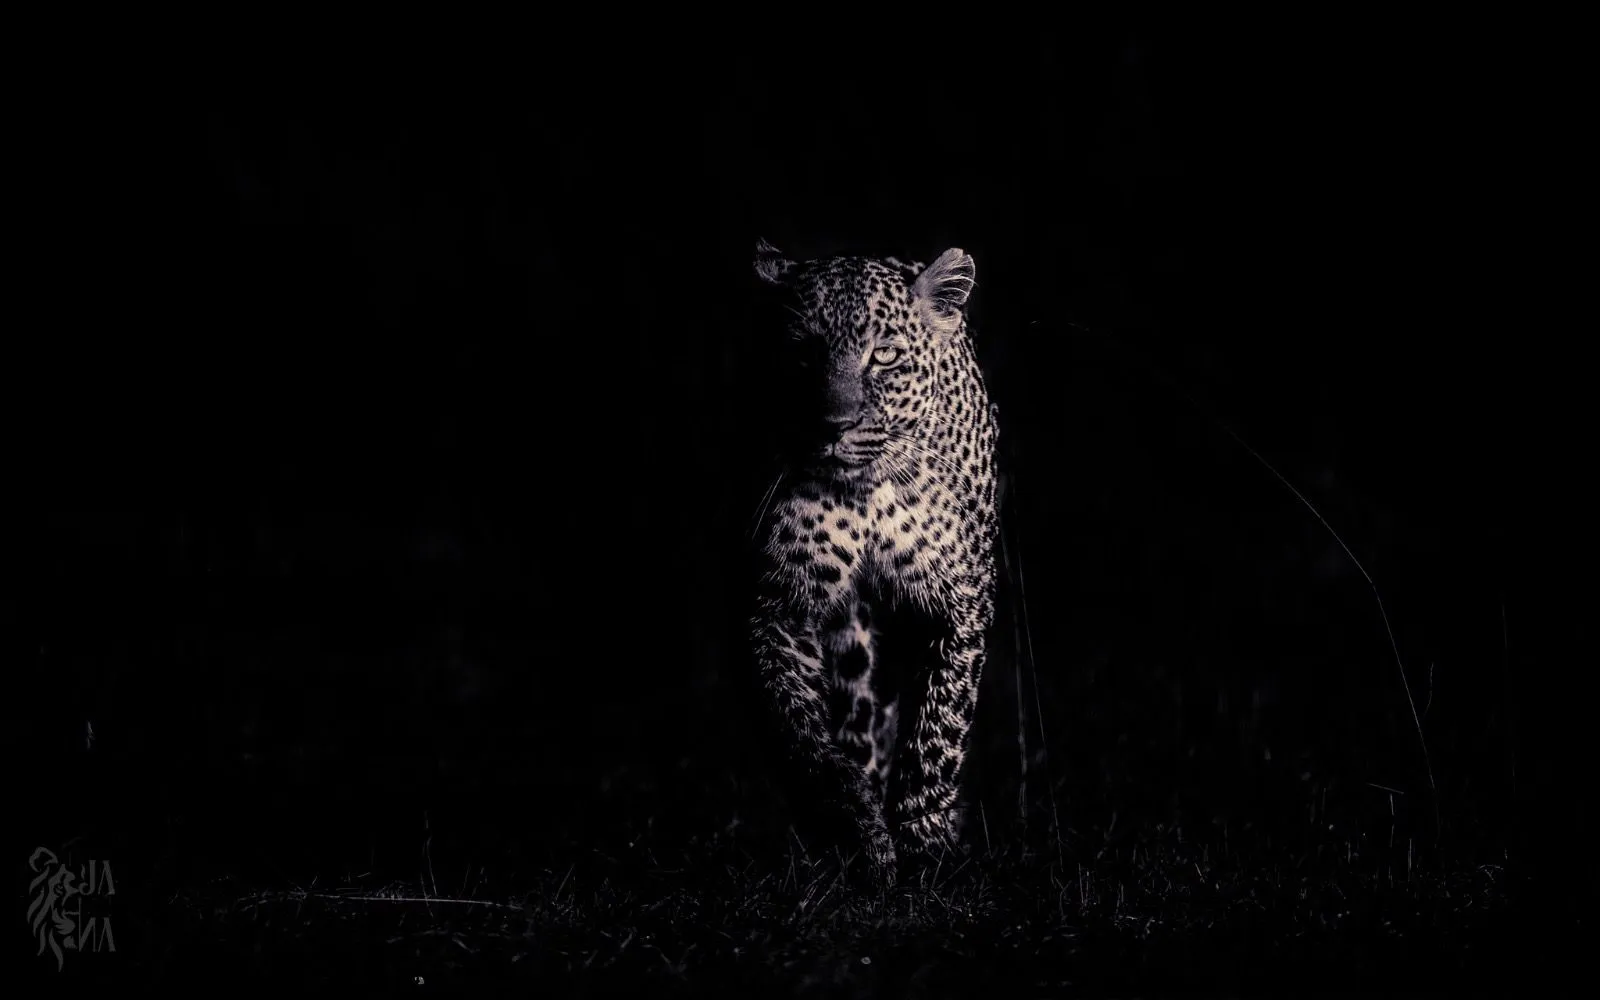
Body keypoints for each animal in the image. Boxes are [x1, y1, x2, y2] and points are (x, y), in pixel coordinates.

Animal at [746, 238, 1000, 884]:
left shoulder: (959, 604)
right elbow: (806, 740)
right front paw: (861, 836)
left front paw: (926, 844)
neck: (864, 492)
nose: (834, 427)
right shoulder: (779, 608)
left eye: (882, 356)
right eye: (804, 353)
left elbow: (939, 726)